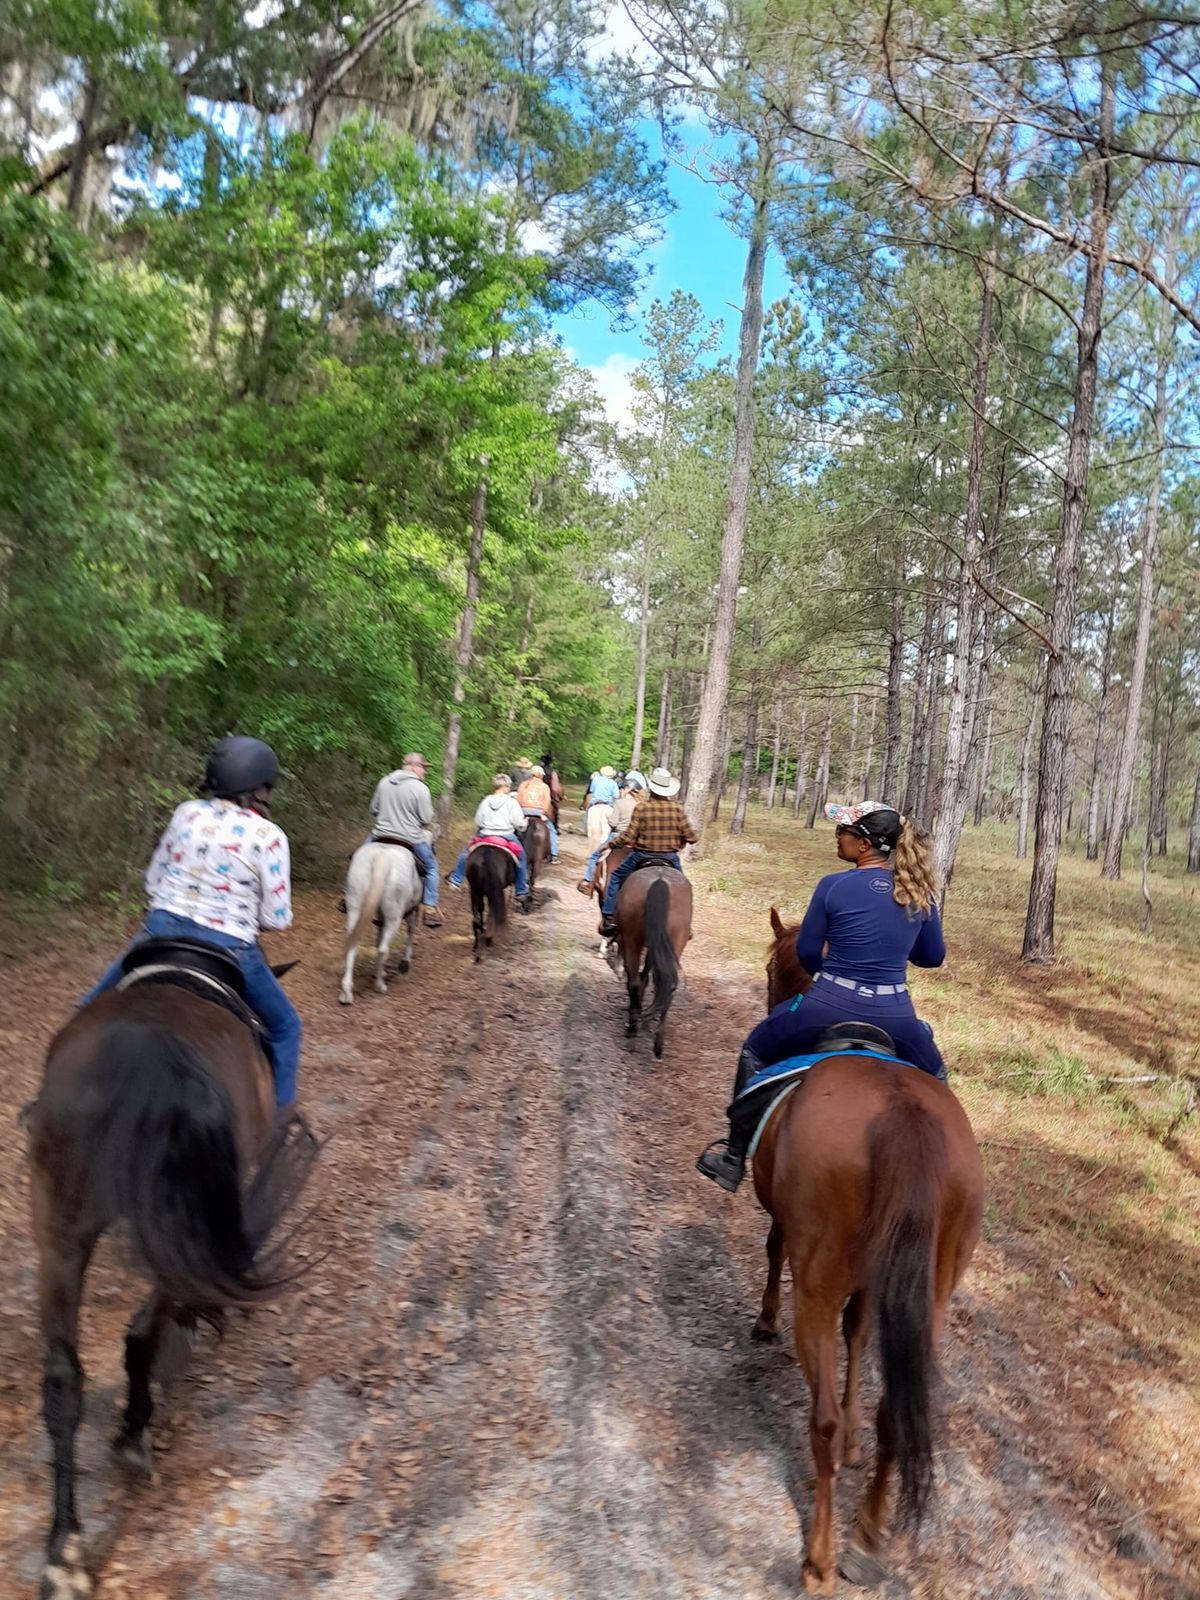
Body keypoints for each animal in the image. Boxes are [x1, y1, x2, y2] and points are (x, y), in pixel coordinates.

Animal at [25, 960, 315, 1600]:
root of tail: (140, 1055)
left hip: (59, 1227)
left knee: (62, 1379)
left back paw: (64, 1556)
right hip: (160, 1223)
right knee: (141, 1332)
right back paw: (134, 1433)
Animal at [340, 844, 425, 1004]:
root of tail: (382, 857)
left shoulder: (380, 918)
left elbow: (378, 937)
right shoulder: (412, 911)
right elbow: (410, 932)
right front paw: (405, 963)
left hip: (355, 906)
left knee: (353, 945)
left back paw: (346, 993)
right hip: (394, 917)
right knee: (383, 950)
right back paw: (379, 985)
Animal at [614, 870, 691, 1056]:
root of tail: (660, 880)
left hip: (631, 941)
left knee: (634, 982)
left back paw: (632, 1029)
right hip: (674, 943)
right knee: (667, 985)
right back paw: (658, 1043)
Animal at [755, 908, 979, 1593]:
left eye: (772, 967)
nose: (770, 992)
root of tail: (899, 1113)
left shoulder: (794, 1233)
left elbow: (773, 1248)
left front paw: (764, 1318)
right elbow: (859, 1332)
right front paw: (859, 1435)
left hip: (817, 1288)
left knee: (820, 1420)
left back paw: (821, 1559)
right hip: (932, 1292)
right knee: (897, 1417)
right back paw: (868, 1540)